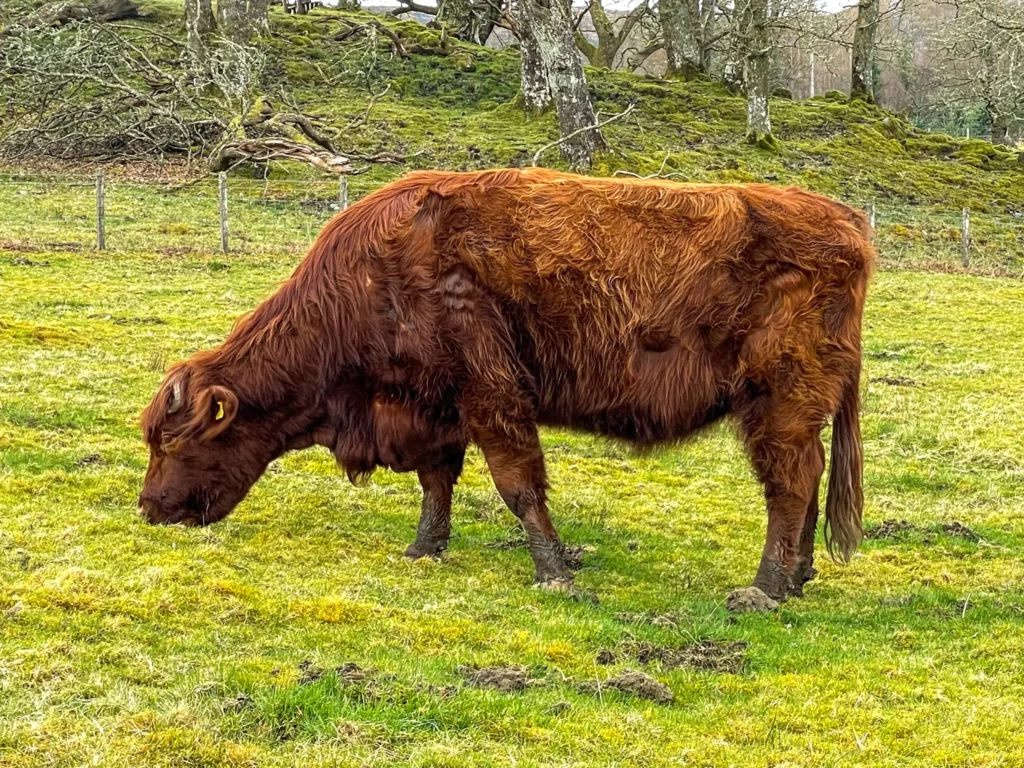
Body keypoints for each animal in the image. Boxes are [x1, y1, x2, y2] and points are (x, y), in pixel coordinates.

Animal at [138, 169, 872, 614]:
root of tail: (845, 221)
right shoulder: (438, 405)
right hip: (796, 409)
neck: (378, 274)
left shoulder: (491, 394)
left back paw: (763, 589)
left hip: (779, 400)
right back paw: (797, 579)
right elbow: (437, 480)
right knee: (803, 483)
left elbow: (518, 485)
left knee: (788, 485)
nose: (148, 507)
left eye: (171, 441)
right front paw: (424, 548)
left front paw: (555, 574)